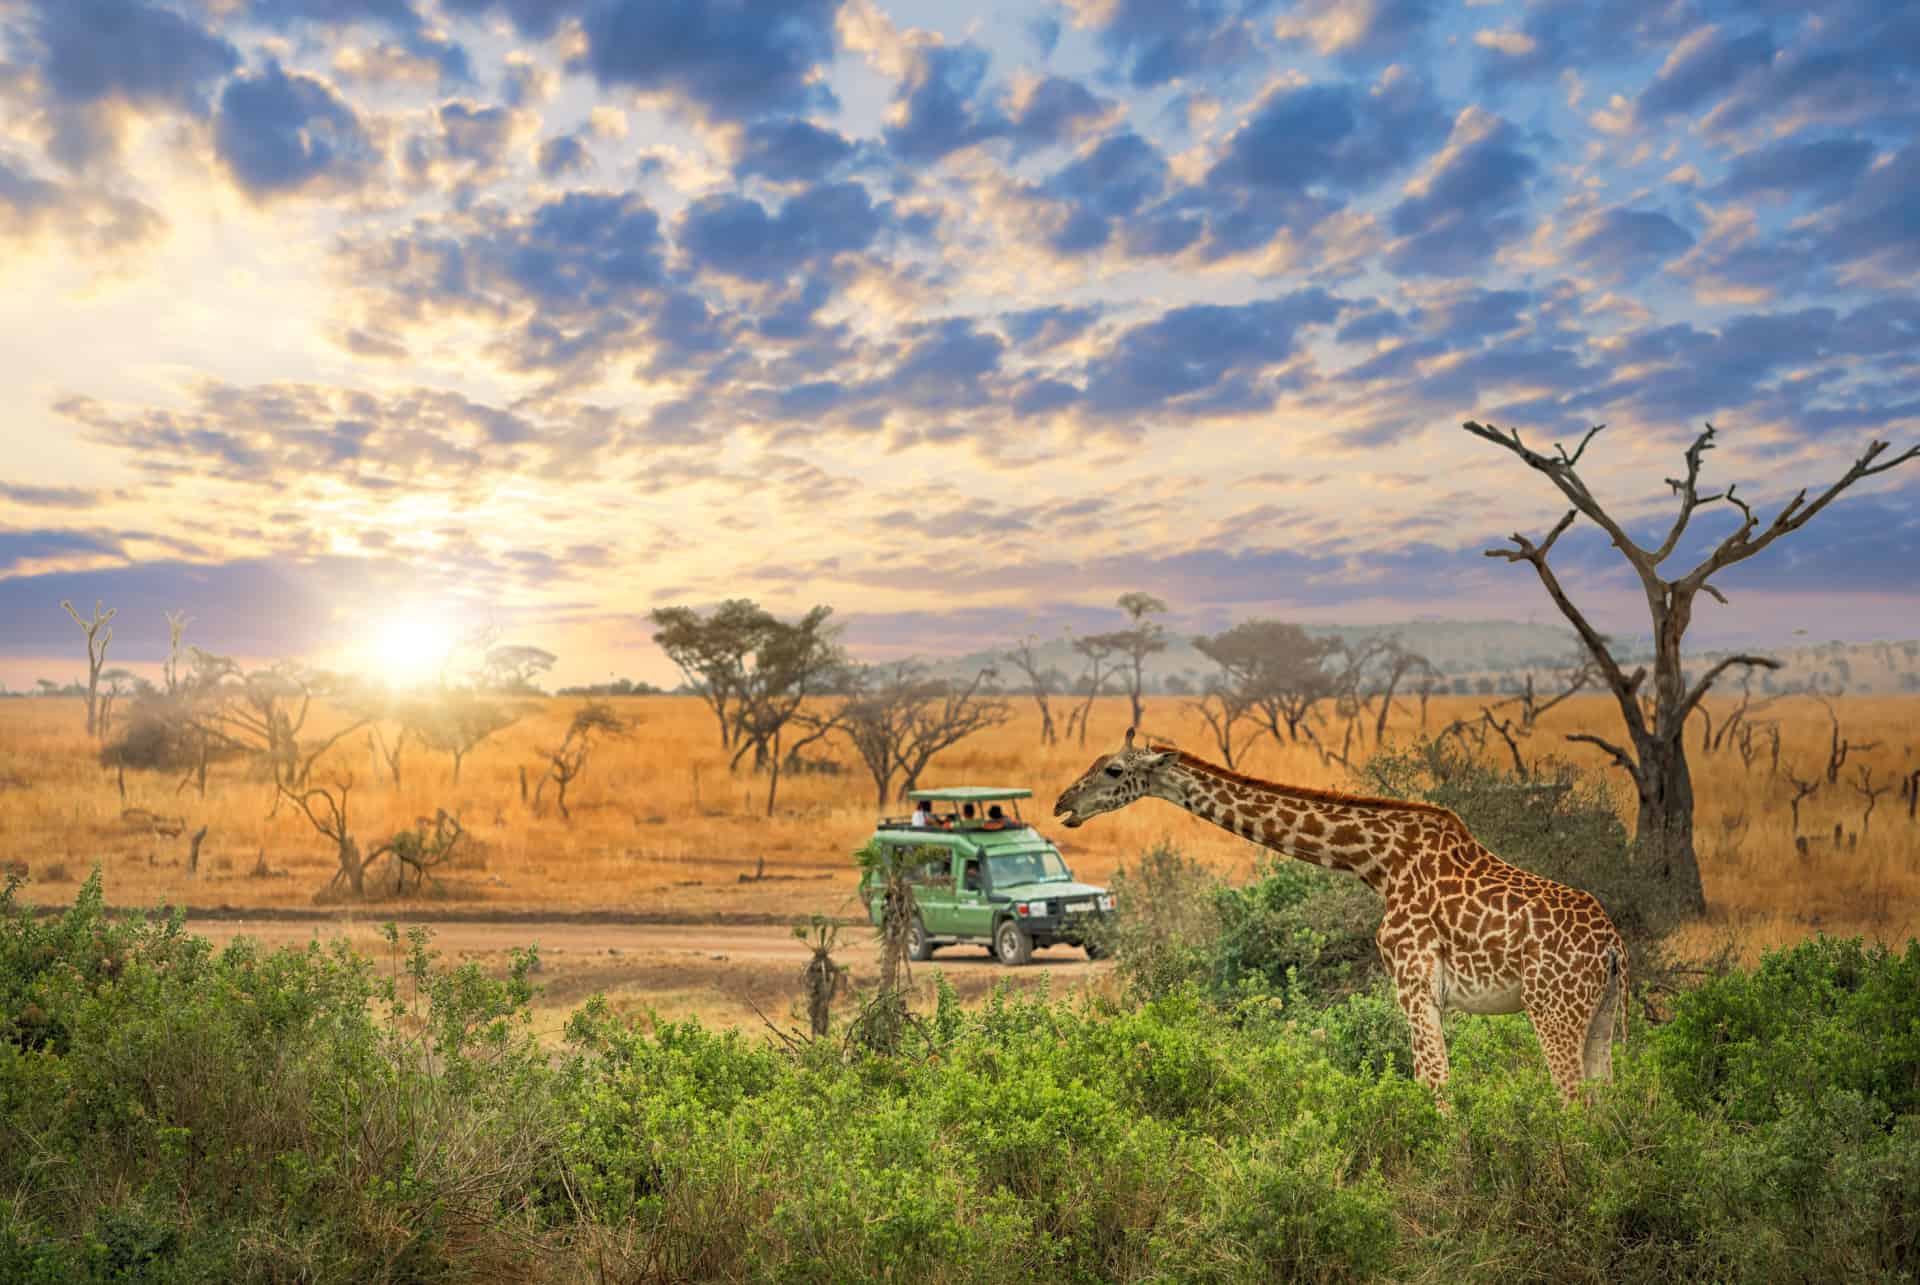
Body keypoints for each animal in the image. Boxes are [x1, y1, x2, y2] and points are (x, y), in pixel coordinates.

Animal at [1059, 726, 1628, 1098]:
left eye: (1113, 769)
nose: (1063, 804)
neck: (1379, 862)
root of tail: (1613, 947)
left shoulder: (1413, 982)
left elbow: (1433, 1085)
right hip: (1601, 1014)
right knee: (1604, 1098)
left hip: (1552, 1009)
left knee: (1572, 1098)